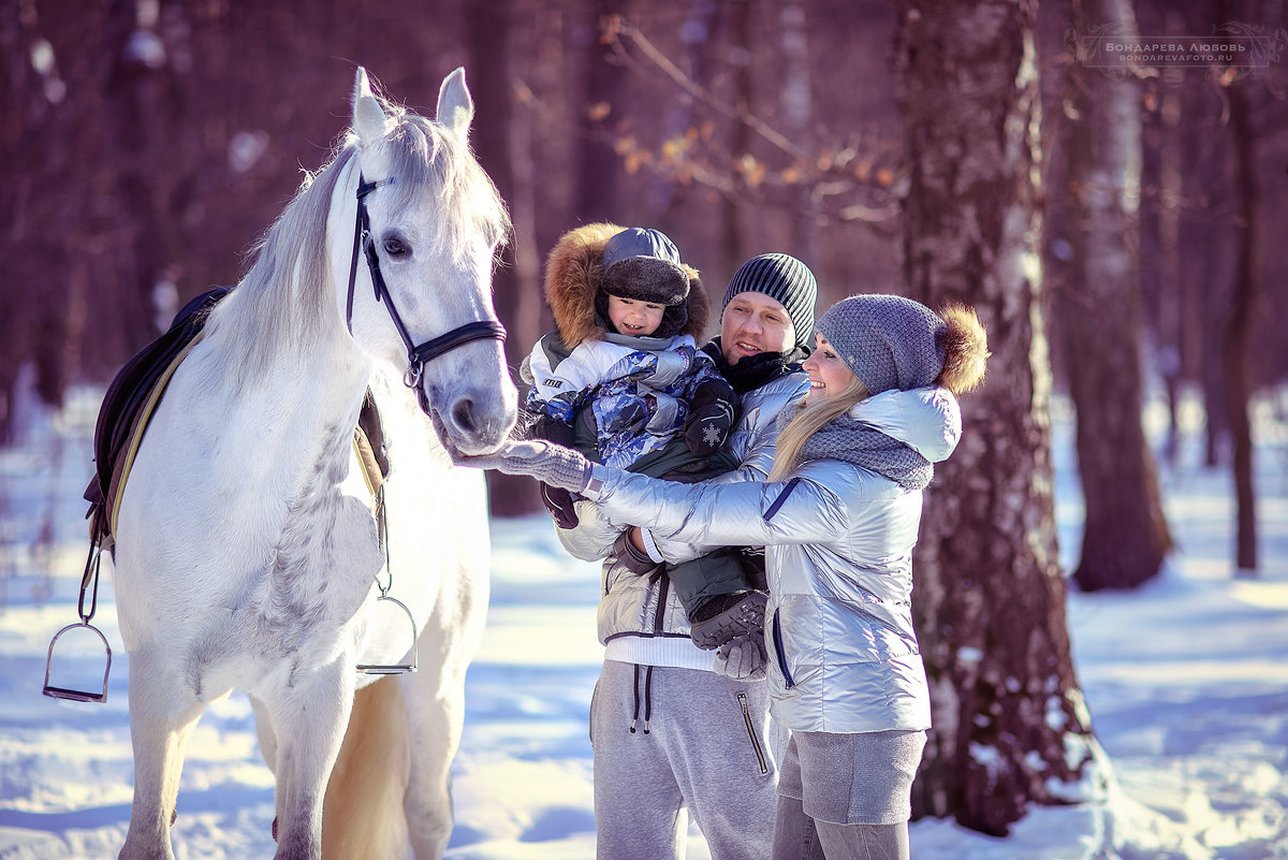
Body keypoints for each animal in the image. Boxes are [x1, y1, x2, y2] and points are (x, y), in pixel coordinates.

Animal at [108, 68, 515, 860]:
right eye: (395, 244)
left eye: (490, 240)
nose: (488, 410)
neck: (252, 497)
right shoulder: (159, 696)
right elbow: (150, 834)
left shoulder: (318, 696)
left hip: (436, 682)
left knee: (427, 814)